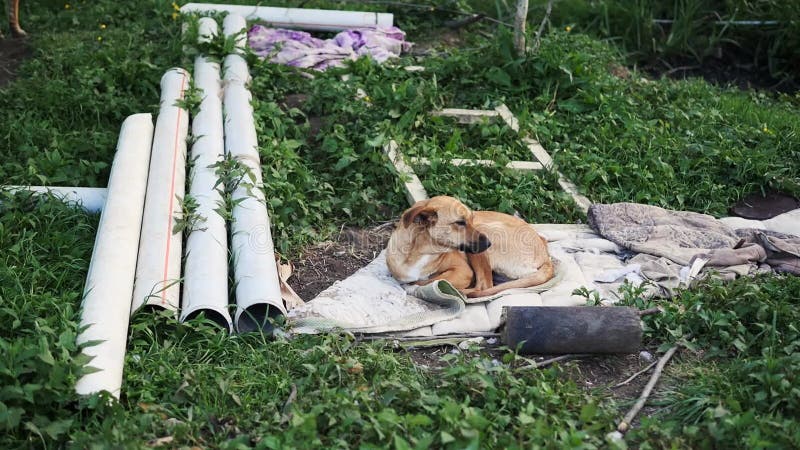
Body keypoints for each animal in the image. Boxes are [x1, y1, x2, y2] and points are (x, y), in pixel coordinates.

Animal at [386, 195, 552, 298]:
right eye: (460, 222)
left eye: (472, 219)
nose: (489, 243)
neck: (420, 252)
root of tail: (546, 256)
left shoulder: (463, 271)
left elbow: (435, 280)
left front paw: (415, 287)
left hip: (485, 231)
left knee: (484, 286)